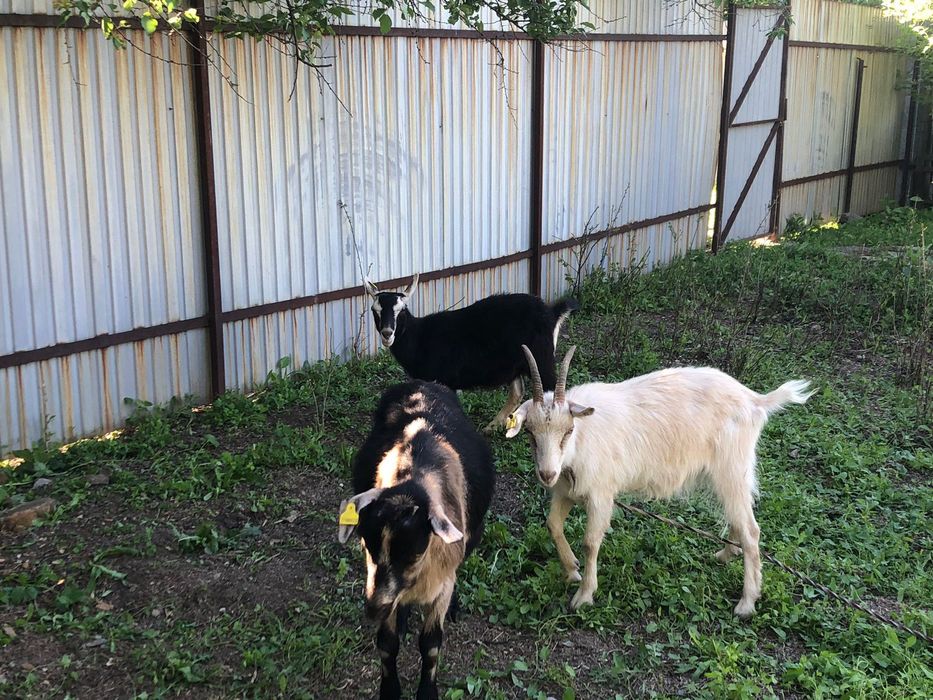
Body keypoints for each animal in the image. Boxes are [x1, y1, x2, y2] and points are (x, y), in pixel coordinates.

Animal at [338, 380, 495, 700]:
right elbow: (387, 642)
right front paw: (390, 690)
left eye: (411, 552)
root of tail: (423, 383)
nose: (373, 610)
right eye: (367, 546)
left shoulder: (441, 584)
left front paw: (426, 691)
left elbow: (431, 643)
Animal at [363, 274, 577, 432]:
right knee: (517, 391)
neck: (420, 336)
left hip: (541, 359)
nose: (387, 333)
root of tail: (552, 313)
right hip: (515, 364)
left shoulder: (444, 379)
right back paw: (493, 426)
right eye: (375, 310)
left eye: (401, 310)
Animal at [506, 345, 813, 618]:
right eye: (530, 433)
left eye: (568, 430)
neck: (582, 438)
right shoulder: (565, 491)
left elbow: (591, 542)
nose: (546, 474)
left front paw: (583, 596)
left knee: (750, 529)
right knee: (736, 516)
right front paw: (571, 570)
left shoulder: (601, 493)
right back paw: (725, 555)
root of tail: (755, 400)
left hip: (733, 468)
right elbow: (553, 525)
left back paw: (746, 603)